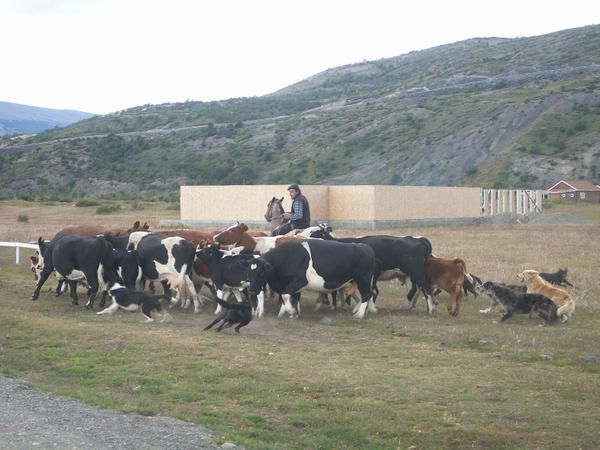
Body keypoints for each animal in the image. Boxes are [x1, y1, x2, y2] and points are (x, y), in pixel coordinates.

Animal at [245, 239, 376, 320]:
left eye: (261, 272)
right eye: (249, 273)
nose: (251, 290)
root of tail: (365, 247)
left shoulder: (299, 281)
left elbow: (285, 296)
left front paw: (291, 312)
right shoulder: (289, 285)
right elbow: (292, 298)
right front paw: (290, 314)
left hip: (363, 279)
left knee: (367, 294)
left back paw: (359, 315)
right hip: (358, 281)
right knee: (369, 294)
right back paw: (362, 310)